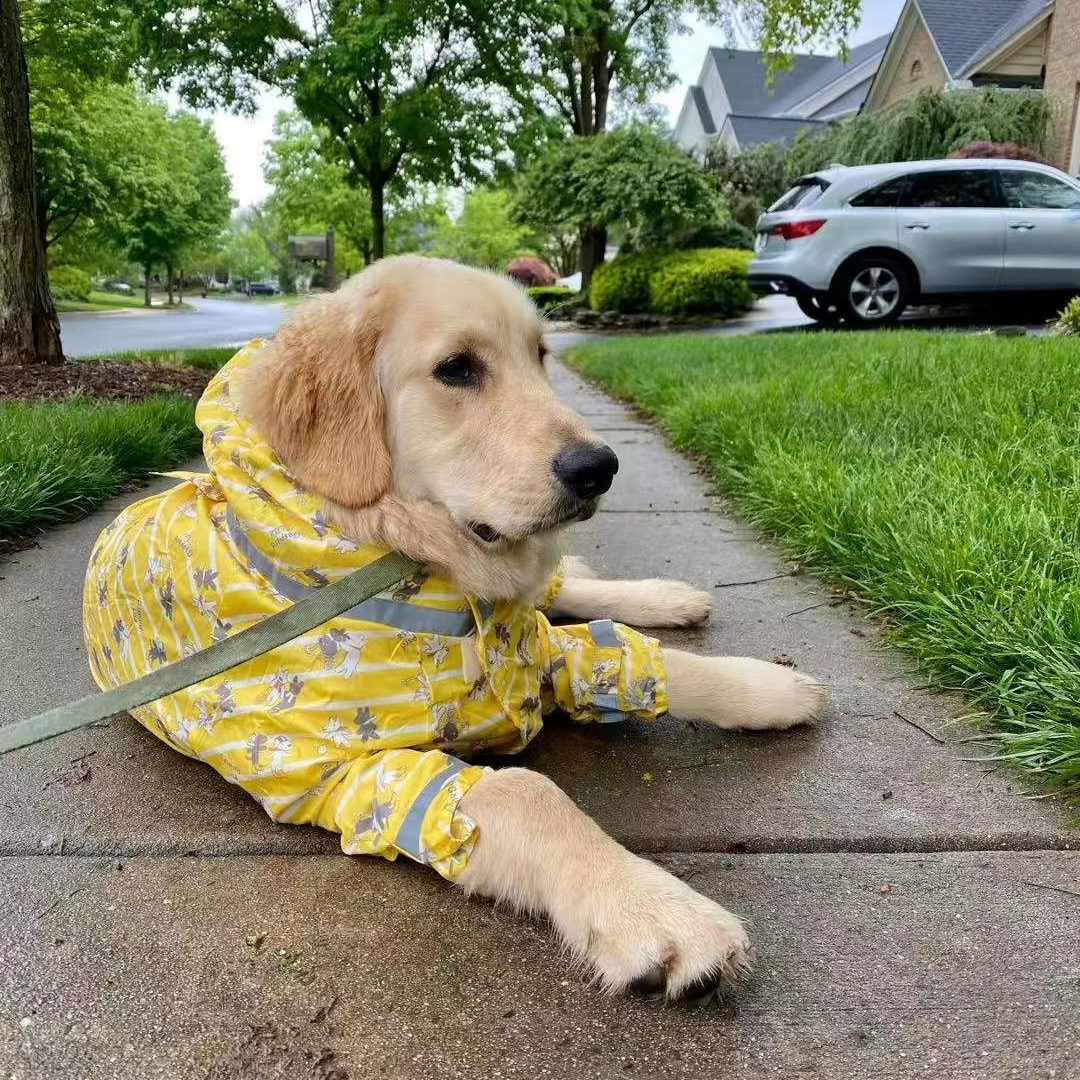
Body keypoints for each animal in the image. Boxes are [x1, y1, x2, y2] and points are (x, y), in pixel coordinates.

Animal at [84, 254, 825, 1002]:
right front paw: (652, 909)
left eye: (541, 355)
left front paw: (766, 688)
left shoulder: (531, 650)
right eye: (458, 369)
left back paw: (669, 597)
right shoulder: (348, 778)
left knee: (566, 586)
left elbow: (651, 659)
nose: (600, 468)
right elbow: (528, 792)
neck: (398, 552)